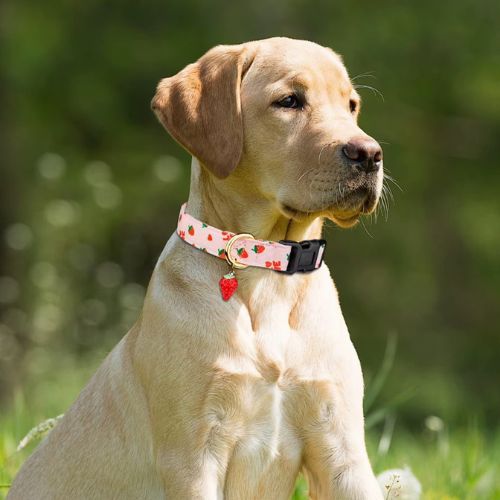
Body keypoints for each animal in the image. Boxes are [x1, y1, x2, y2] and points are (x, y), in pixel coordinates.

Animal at [6, 37, 382, 498]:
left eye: (351, 105)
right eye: (289, 101)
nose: (370, 154)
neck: (268, 270)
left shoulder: (342, 447)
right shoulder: (192, 456)